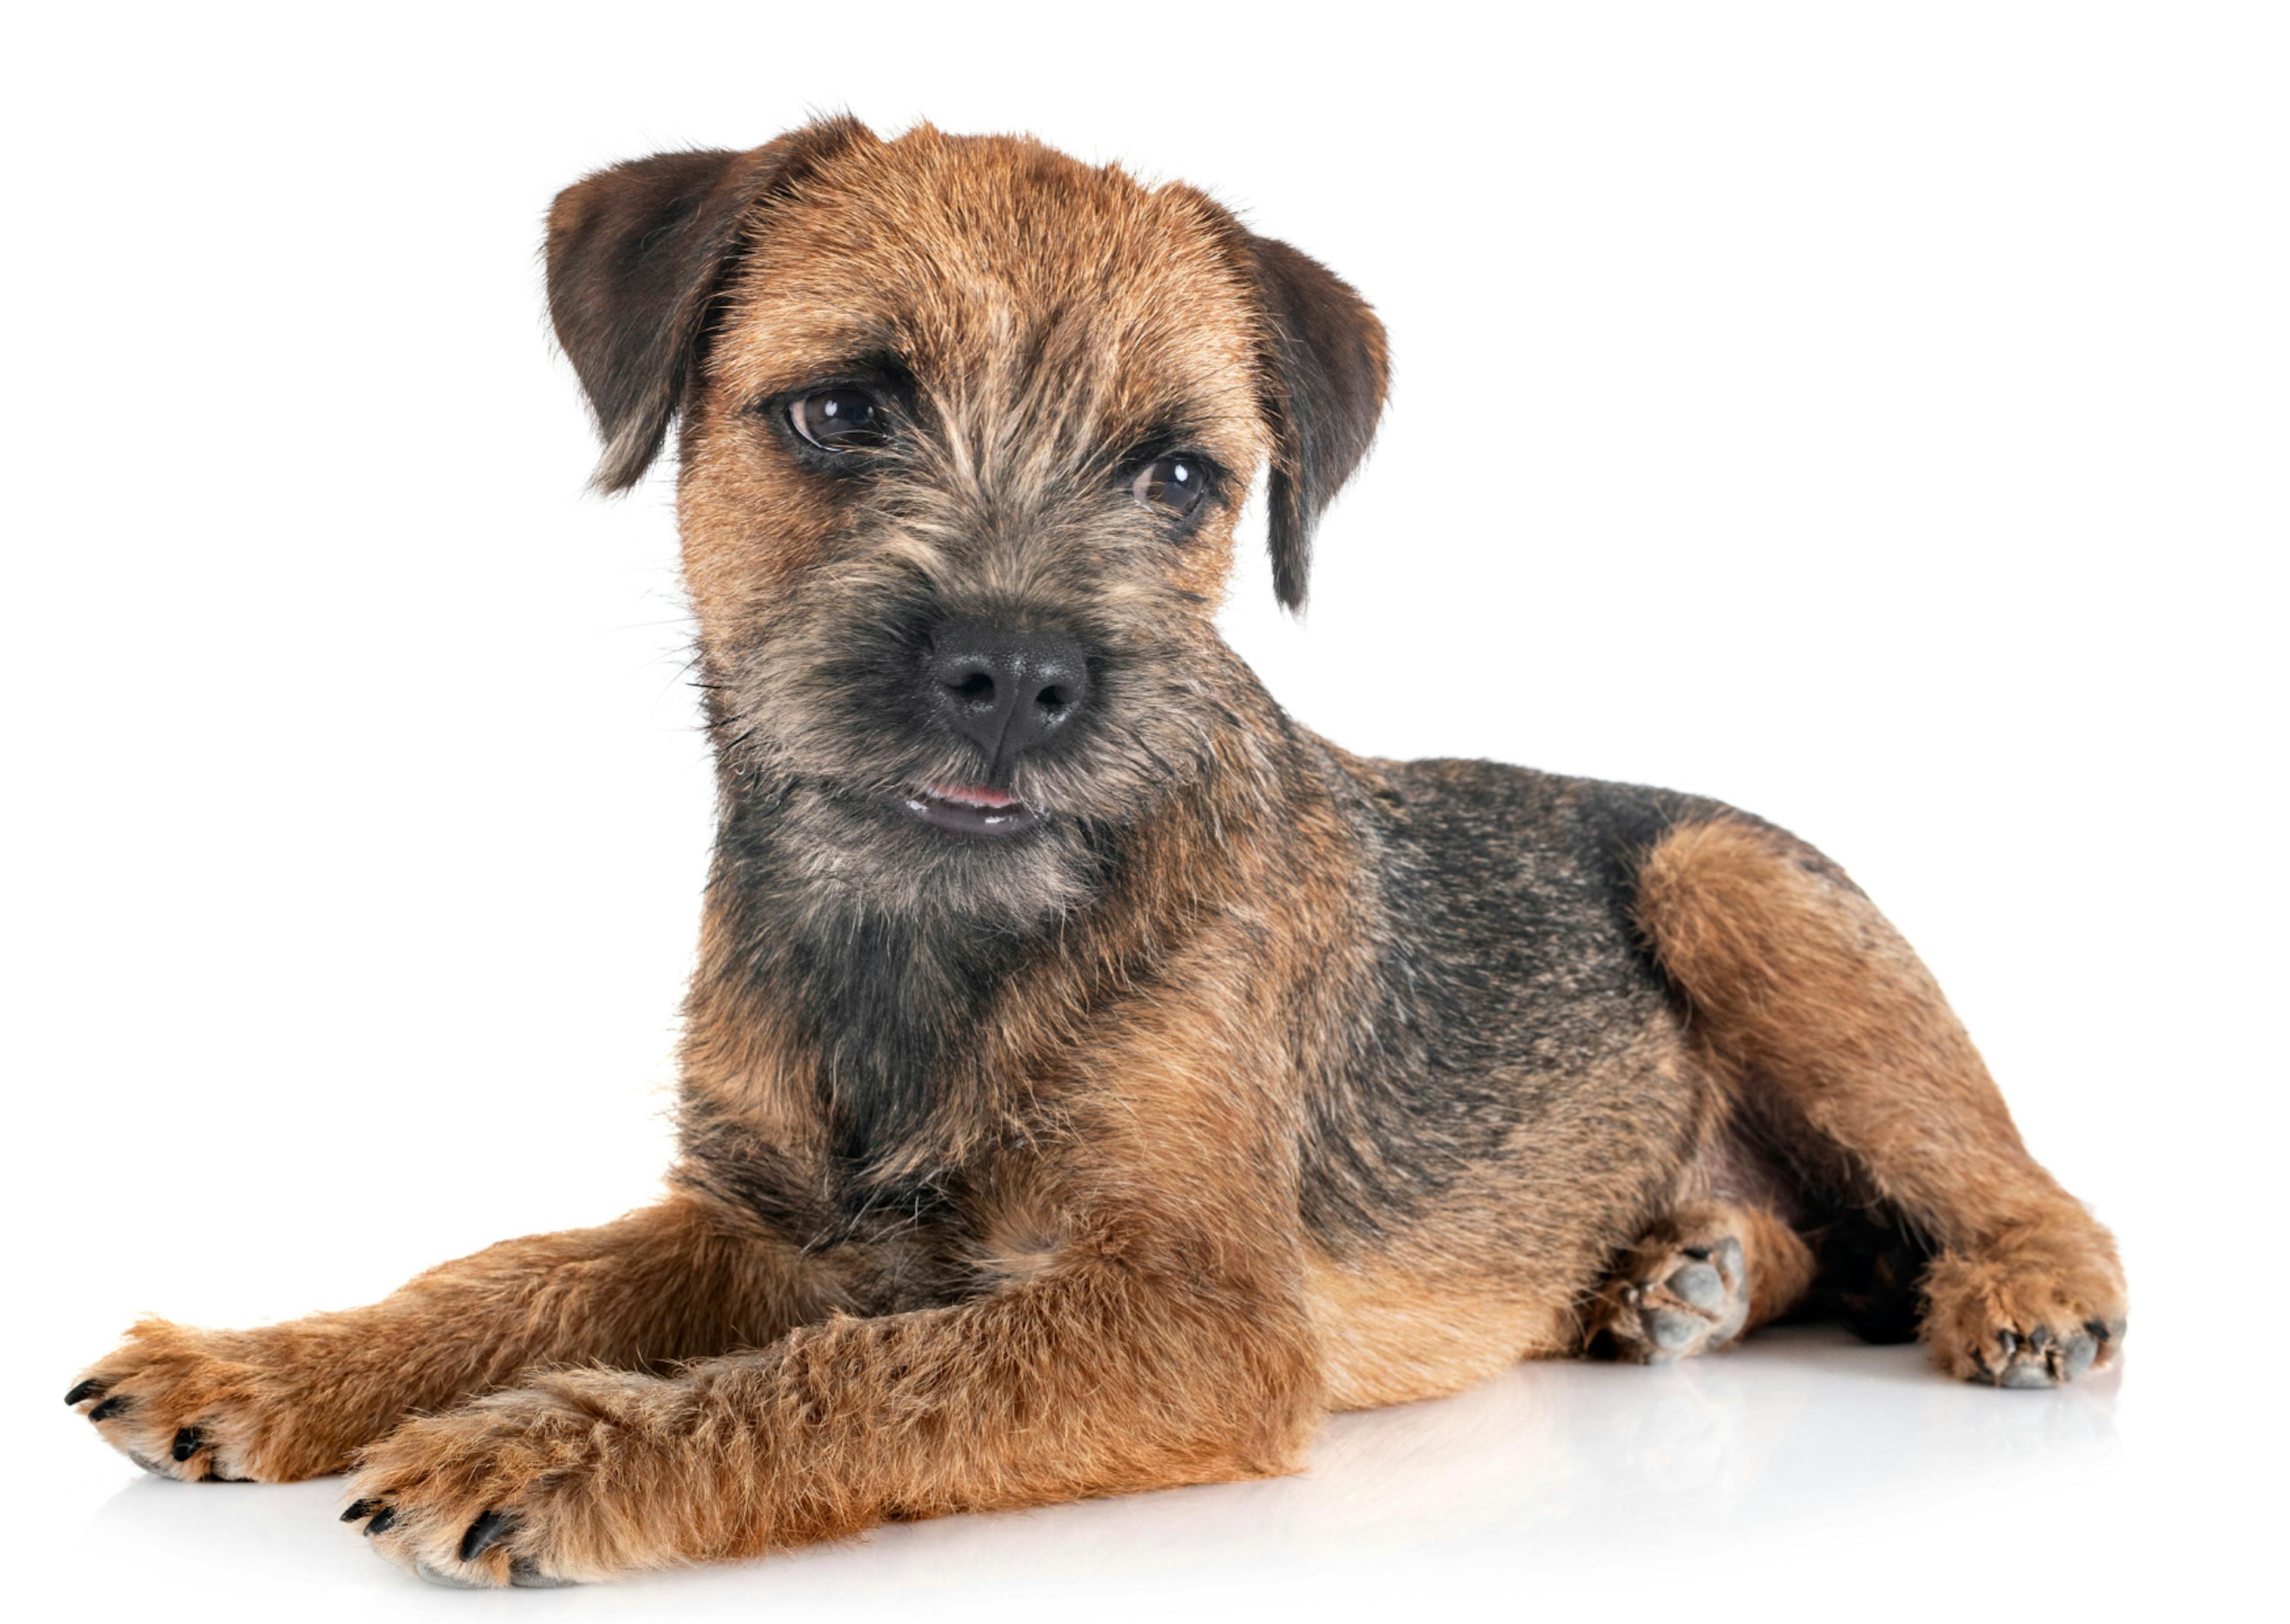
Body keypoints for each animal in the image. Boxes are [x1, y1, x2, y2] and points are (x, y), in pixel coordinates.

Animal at [58, 123, 2125, 1585]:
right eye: (842, 407)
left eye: (1178, 476)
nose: (1017, 670)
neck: (925, 931)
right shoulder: (750, 1221)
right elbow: (506, 1273)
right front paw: (268, 1364)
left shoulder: (1194, 1314)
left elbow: (867, 1373)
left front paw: (562, 1445)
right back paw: (1681, 1267)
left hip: (1733, 887)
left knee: (2023, 1180)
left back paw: (2014, 1292)